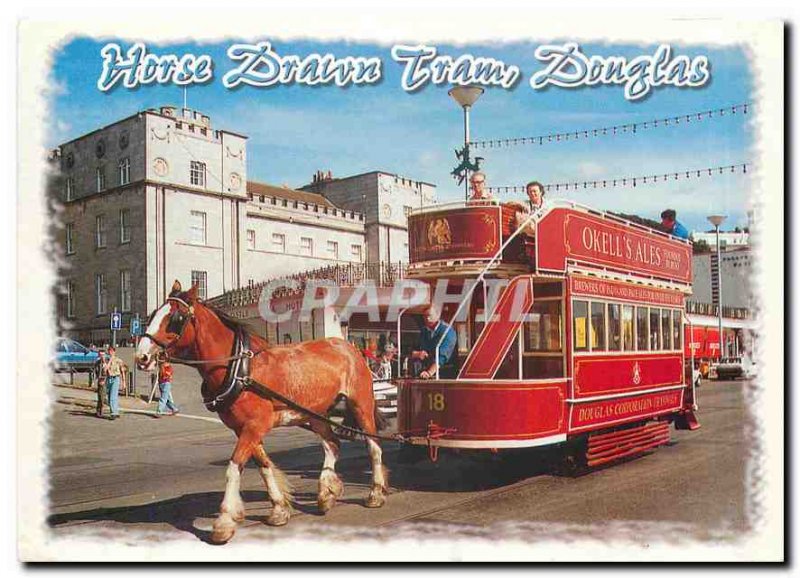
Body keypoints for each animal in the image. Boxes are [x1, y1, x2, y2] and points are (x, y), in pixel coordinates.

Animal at [136, 282, 390, 544]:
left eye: (175, 318)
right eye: (154, 313)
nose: (142, 356)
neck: (239, 369)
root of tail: (349, 347)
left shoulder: (254, 426)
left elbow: (233, 468)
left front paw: (224, 522)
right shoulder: (243, 428)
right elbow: (264, 465)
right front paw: (278, 509)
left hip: (361, 405)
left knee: (373, 446)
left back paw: (375, 493)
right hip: (314, 413)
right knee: (332, 444)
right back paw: (327, 493)